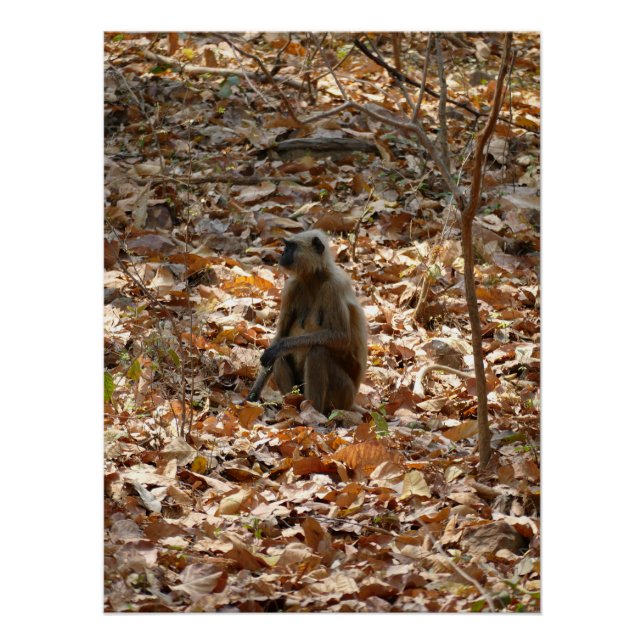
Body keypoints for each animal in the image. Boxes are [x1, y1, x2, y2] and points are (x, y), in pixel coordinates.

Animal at [247, 230, 368, 415]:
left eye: (290, 247)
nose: (282, 253)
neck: (314, 278)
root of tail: (352, 401)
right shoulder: (291, 287)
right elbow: (279, 338)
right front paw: (252, 397)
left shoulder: (334, 287)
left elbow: (342, 337)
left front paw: (281, 345)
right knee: (280, 357)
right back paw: (291, 404)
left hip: (343, 395)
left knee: (317, 352)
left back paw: (312, 411)